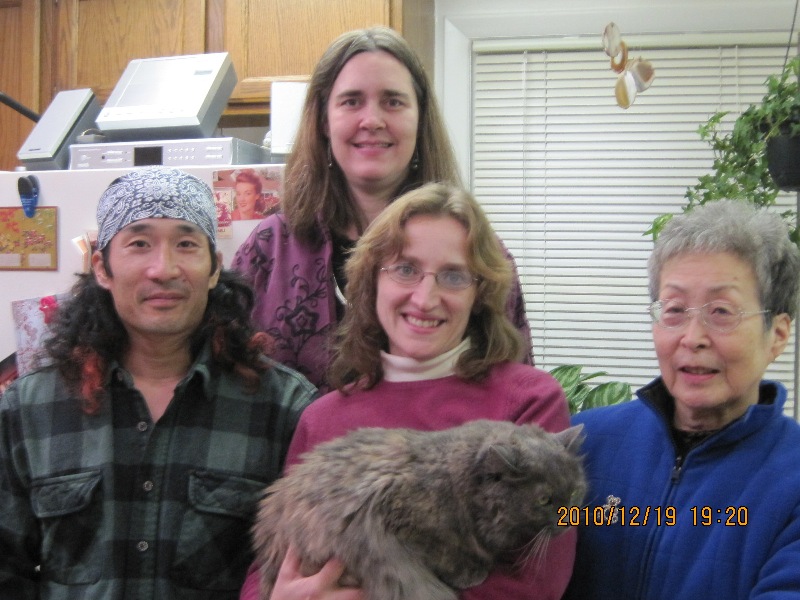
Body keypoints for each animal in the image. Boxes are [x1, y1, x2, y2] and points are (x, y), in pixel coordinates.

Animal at [253, 418, 584, 600]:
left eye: (575, 491)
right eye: (544, 500)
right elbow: (445, 552)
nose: (567, 522)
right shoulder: (403, 517)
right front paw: (470, 573)